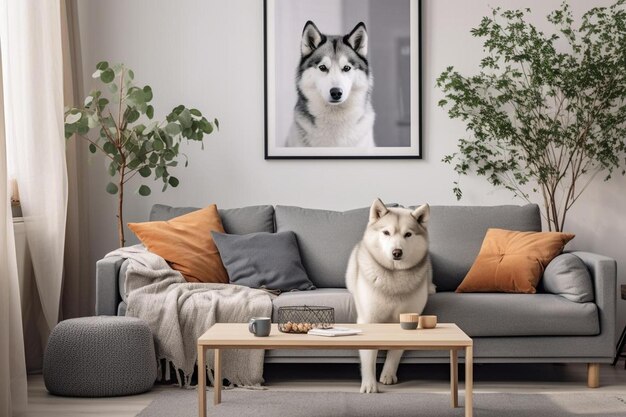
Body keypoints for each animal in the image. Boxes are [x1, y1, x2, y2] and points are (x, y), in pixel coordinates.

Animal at [344, 198, 432, 394]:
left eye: (408, 234)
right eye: (386, 232)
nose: (396, 252)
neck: (394, 278)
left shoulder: (408, 316)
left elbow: (396, 350)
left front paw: (388, 374)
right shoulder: (369, 319)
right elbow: (369, 354)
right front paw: (369, 383)